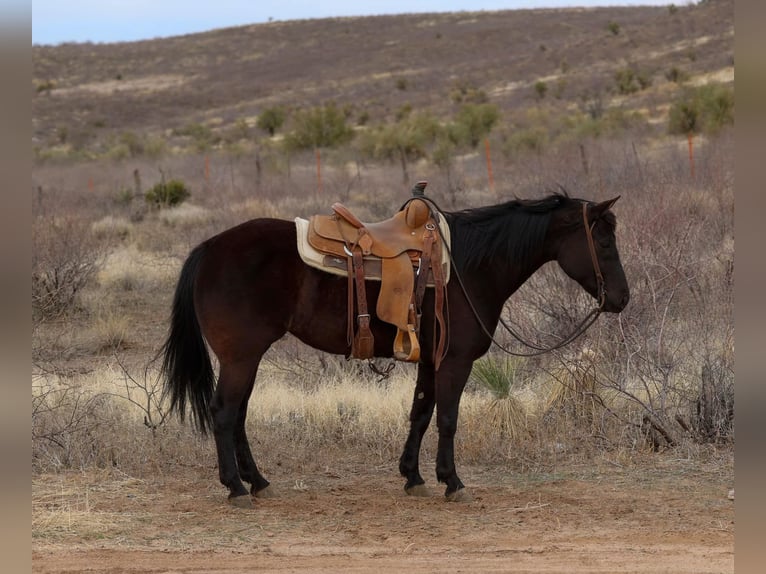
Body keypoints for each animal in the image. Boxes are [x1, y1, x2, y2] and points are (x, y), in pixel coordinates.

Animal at [159, 192, 629, 507]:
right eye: (605, 242)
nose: (621, 299)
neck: (471, 266)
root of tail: (209, 248)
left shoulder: (430, 361)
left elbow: (420, 413)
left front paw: (413, 476)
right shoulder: (455, 361)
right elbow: (448, 419)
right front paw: (452, 481)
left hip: (247, 358)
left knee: (237, 415)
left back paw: (257, 481)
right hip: (241, 357)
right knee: (224, 413)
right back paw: (236, 487)